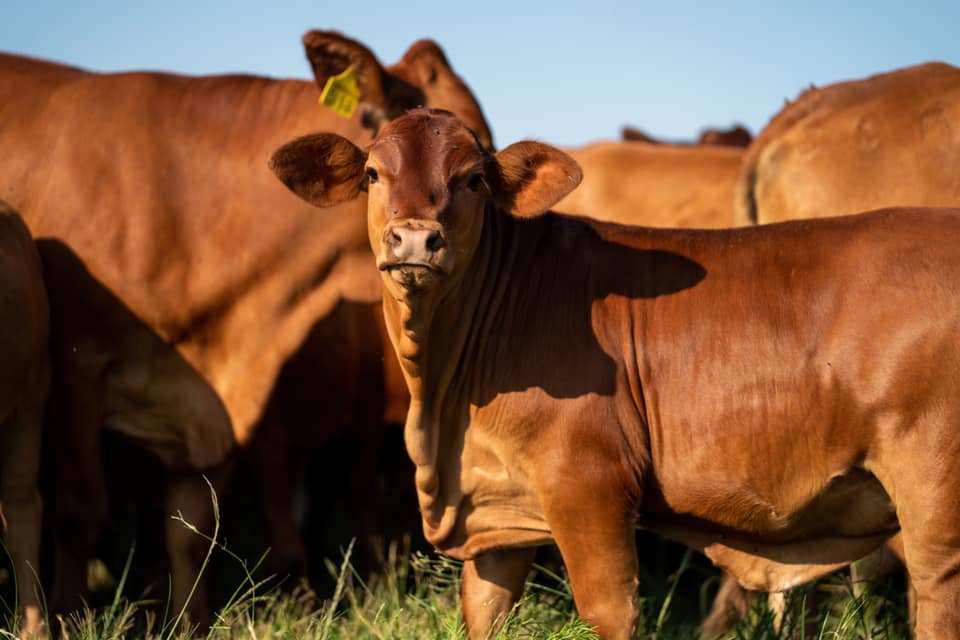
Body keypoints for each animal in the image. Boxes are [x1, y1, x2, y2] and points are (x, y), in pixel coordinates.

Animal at [0, 30, 487, 625]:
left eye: (482, 173)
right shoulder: (73, 373)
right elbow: (77, 511)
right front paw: (72, 617)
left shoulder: (213, 410)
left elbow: (189, 531)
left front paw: (188, 624)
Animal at [271, 107, 960, 639]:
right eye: (372, 174)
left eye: (472, 179)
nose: (415, 239)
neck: (444, 407)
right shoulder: (494, 516)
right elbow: (485, 613)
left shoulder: (590, 487)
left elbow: (608, 611)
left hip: (933, 494)